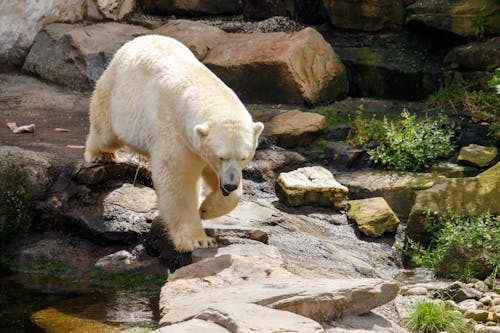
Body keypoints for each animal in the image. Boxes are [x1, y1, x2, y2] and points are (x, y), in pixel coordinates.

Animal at [85, 35, 266, 250]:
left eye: (243, 157)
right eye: (221, 156)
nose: (229, 185)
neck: (204, 89)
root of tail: (137, 40)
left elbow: (214, 176)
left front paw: (206, 209)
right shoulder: (176, 134)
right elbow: (177, 181)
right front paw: (198, 239)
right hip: (116, 93)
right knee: (105, 129)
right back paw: (102, 154)